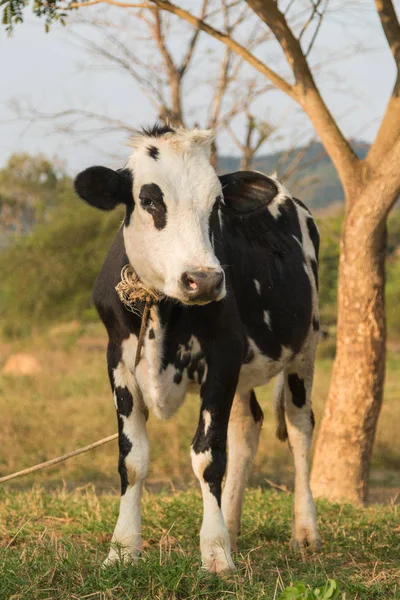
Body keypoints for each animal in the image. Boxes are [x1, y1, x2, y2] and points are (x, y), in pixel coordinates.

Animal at [73, 124, 320, 576]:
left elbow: (208, 457)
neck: (162, 309)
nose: (203, 280)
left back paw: (305, 530)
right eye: (149, 200)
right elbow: (132, 459)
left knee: (299, 427)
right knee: (247, 426)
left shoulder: (222, 358)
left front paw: (215, 553)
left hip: (305, 345)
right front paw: (122, 549)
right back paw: (233, 525)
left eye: (217, 205)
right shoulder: (118, 362)